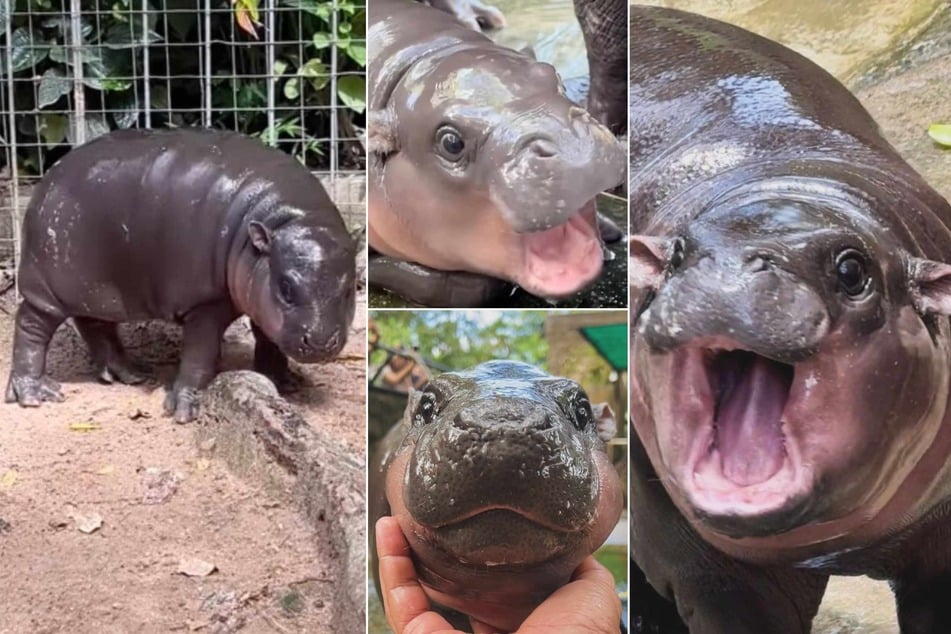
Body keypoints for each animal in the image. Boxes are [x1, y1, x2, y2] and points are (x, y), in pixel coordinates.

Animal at [6, 126, 356, 422]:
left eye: (350, 288)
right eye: (285, 288)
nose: (322, 342)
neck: (287, 220)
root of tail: (49, 176)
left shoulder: (261, 296)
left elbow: (269, 338)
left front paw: (284, 382)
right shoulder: (206, 303)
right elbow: (200, 355)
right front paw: (186, 410)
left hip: (94, 287)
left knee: (95, 325)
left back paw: (131, 373)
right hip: (47, 286)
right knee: (31, 326)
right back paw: (35, 393)